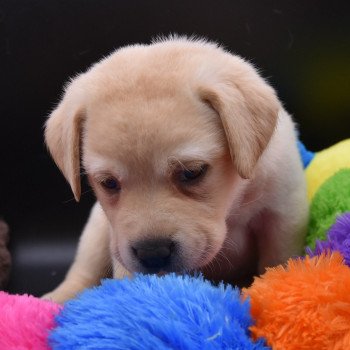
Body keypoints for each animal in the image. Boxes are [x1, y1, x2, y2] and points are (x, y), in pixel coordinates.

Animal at [42, 37, 308, 302]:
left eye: (192, 172)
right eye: (108, 182)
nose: (152, 253)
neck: (232, 203)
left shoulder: (283, 215)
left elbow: (276, 262)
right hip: (96, 231)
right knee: (82, 274)